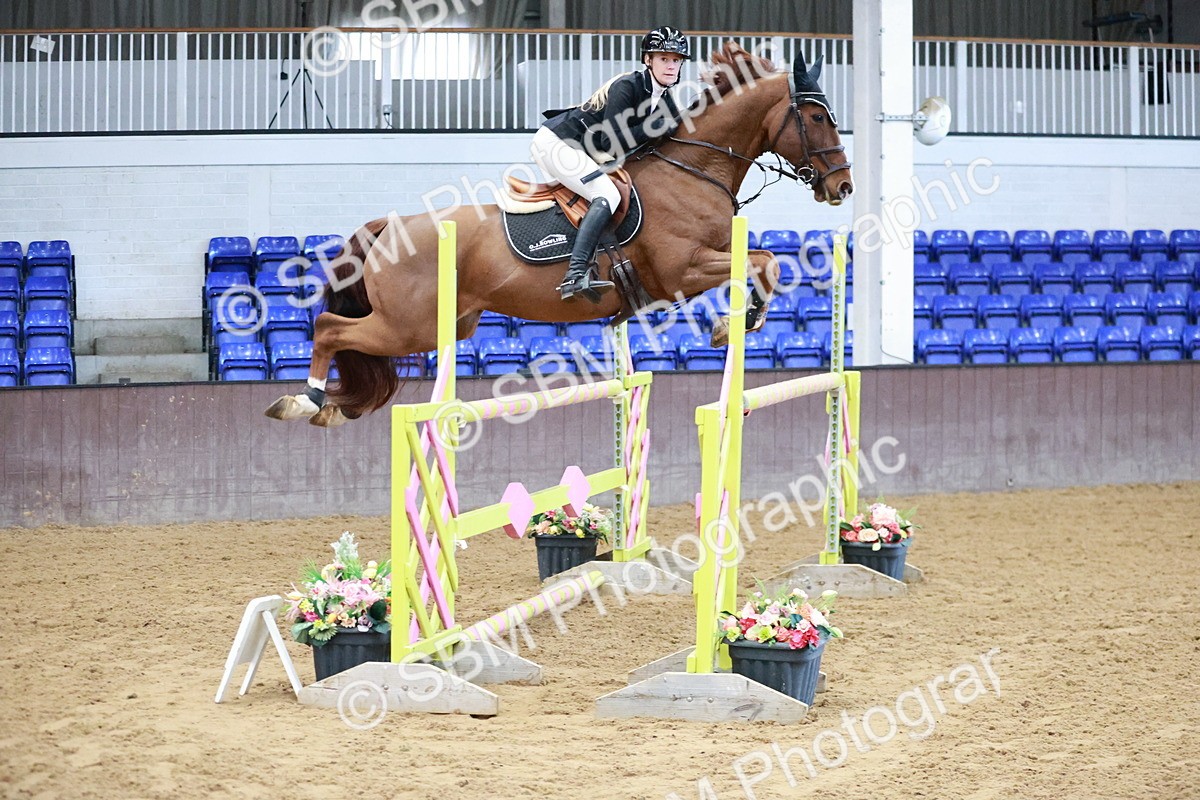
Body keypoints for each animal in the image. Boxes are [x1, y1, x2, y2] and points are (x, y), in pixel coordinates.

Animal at [265, 41, 853, 427]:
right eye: (817, 117)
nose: (842, 186)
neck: (694, 167)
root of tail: (391, 228)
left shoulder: (712, 254)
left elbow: (767, 260)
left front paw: (740, 321)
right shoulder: (680, 271)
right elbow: (763, 262)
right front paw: (730, 325)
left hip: (446, 325)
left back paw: (327, 407)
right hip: (407, 325)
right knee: (328, 328)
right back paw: (304, 401)